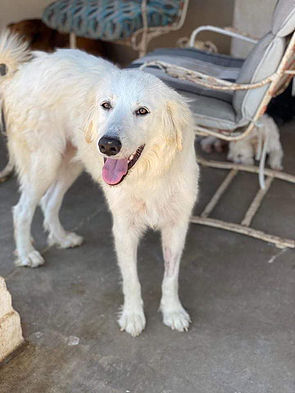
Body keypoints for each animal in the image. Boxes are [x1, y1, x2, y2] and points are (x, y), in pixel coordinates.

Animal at [0, 32, 199, 336]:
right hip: (44, 162)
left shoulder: (176, 226)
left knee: (49, 201)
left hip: (70, 162)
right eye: (107, 105)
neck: (148, 175)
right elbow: (131, 280)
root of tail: (24, 70)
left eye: (142, 111)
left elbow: (171, 276)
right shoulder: (124, 229)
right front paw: (133, 316)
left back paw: (61, 238)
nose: (107, 145)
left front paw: (173, 311)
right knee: (22, 210)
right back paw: (28, 254)